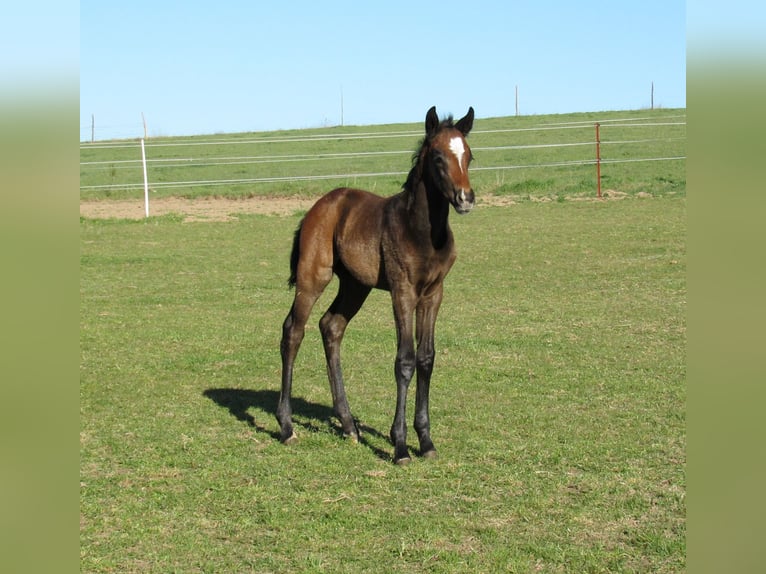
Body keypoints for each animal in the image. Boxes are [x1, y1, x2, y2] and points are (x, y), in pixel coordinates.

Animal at [277, 106, 475, 464]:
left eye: (468, 155)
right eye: (438, 157)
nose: (466, 198)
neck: (423, 232)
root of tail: (320, 205)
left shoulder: (433, 294)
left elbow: (426, 358)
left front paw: (426, 441)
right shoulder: (402, 292)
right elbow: (405, 360)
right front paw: (400, 446)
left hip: (355, 285)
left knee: (331, 327)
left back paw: (348, 426)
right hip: (313, 277)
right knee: (293, 332)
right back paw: (286, 427)